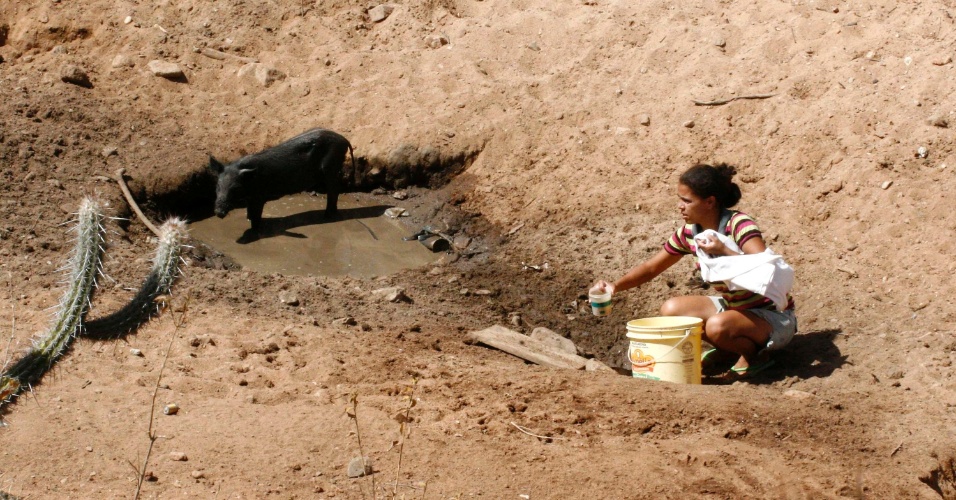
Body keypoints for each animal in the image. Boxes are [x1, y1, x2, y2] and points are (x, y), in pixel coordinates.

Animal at [209, 127, 354, 232]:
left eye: (235, 188)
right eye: (218, 186)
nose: (218, 212)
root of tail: (344, 139)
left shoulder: (260, 196)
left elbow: (256, 216)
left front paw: (255, 230)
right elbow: (249, 214)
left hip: (330, 167)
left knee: (334, 190)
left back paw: (327, 216)